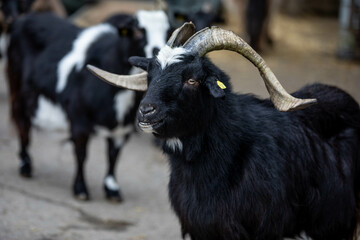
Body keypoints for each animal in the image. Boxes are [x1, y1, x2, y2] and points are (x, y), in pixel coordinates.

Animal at [6, 12, 146, 201]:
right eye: (137, 33)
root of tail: (22, 18)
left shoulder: (123, 128)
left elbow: (114, 155)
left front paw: (112, 189)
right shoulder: (79, 120)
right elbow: (81, 154)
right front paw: (81, 189)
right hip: (16, 86)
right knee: (22, 121)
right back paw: (25, 166)